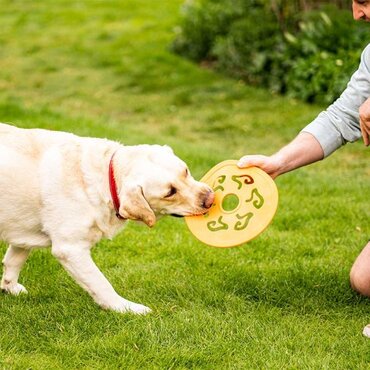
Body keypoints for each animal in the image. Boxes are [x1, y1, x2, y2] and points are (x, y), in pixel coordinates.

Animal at [0, 123, 214, 314]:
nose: (210, 199)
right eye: (169, 192)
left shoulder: (22, 230)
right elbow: (101, 283)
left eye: (185, 171)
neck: (105, 176)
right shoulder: (70, 249)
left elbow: (14, 260)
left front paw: (9, 287)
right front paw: (125, 308)